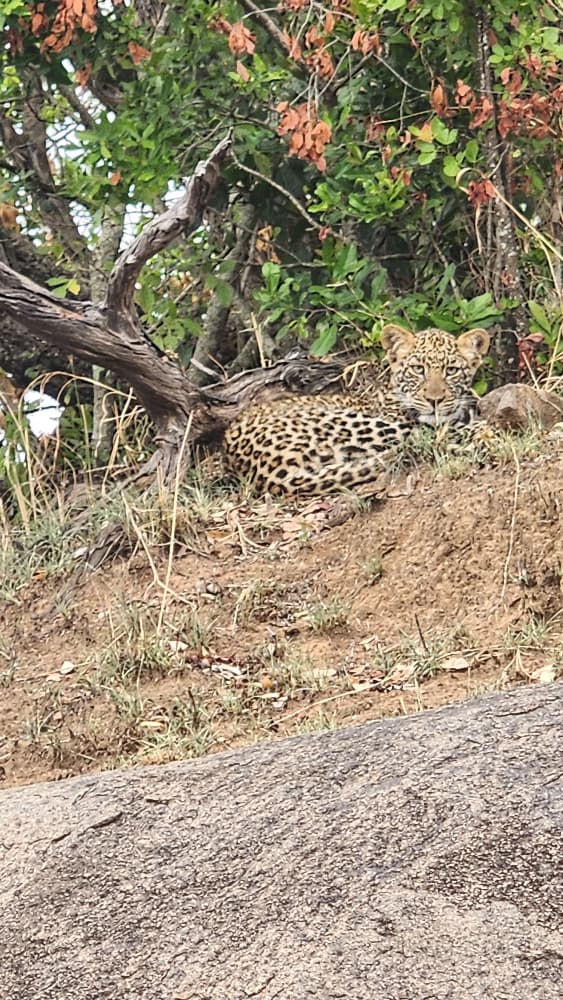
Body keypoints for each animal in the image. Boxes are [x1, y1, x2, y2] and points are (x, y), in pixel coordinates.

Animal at [222, 324, 490, 496]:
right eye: (417, 369)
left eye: (451, 371)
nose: (435, 400)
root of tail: (258, 472)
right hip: (359, 426)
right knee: (423, 440)